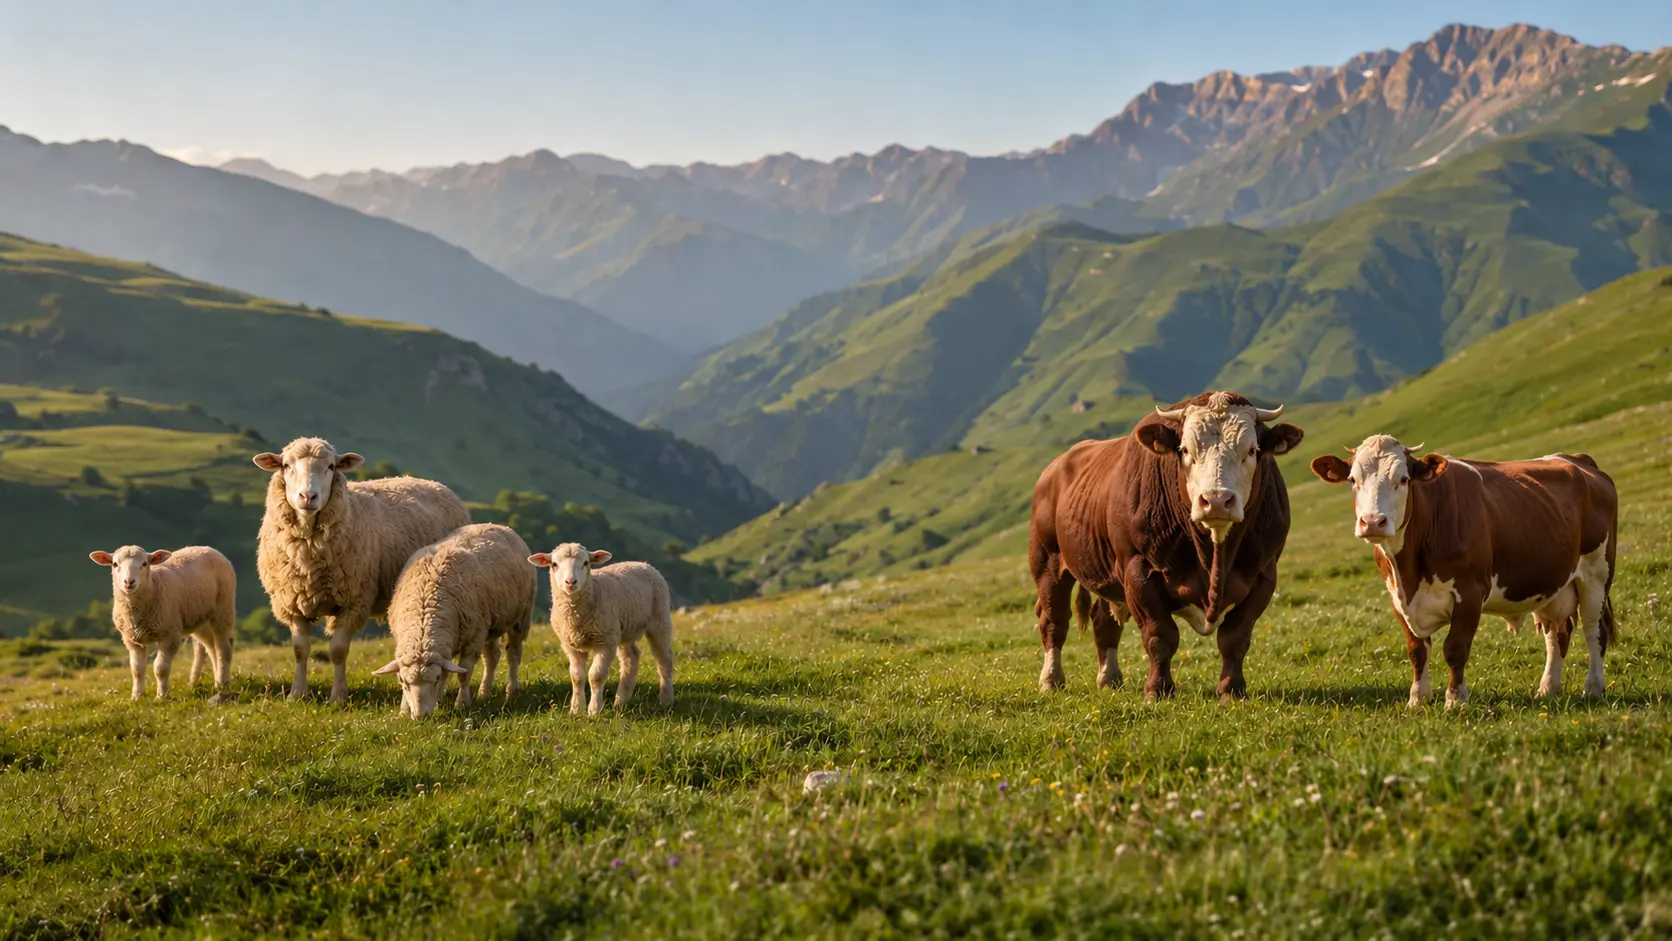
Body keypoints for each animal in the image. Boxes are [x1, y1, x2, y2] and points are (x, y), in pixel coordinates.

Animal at [1028, 390, 1305, 701]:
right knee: (1054, 620)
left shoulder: (1263, 575)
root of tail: (1055, 467)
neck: (1213, 559)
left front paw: (1231, 690)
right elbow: (1160, 635)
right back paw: (1051, 680)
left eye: (1252, 451)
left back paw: (1110, 679)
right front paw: (1157, 690)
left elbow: (1235, 637)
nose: (1216, 500)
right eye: (1185, 450)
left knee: (1104, 623)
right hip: (1048, 563)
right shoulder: (1139, 570)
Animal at [1310, 435, 1618, 707]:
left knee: (1594, 630)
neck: (1409, 570)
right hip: (1552, 584)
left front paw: (1456, 700)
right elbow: (1416, 651)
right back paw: (1548, 689)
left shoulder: (1470, 592)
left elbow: (1455, 649)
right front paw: (1417, 699)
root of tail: (1578, 460)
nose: (1373, 522)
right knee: (1557, 634)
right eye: (1353, 480)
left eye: (1404, 479)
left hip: (1597, 574)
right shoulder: (1397, 597)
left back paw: (1593, 688)